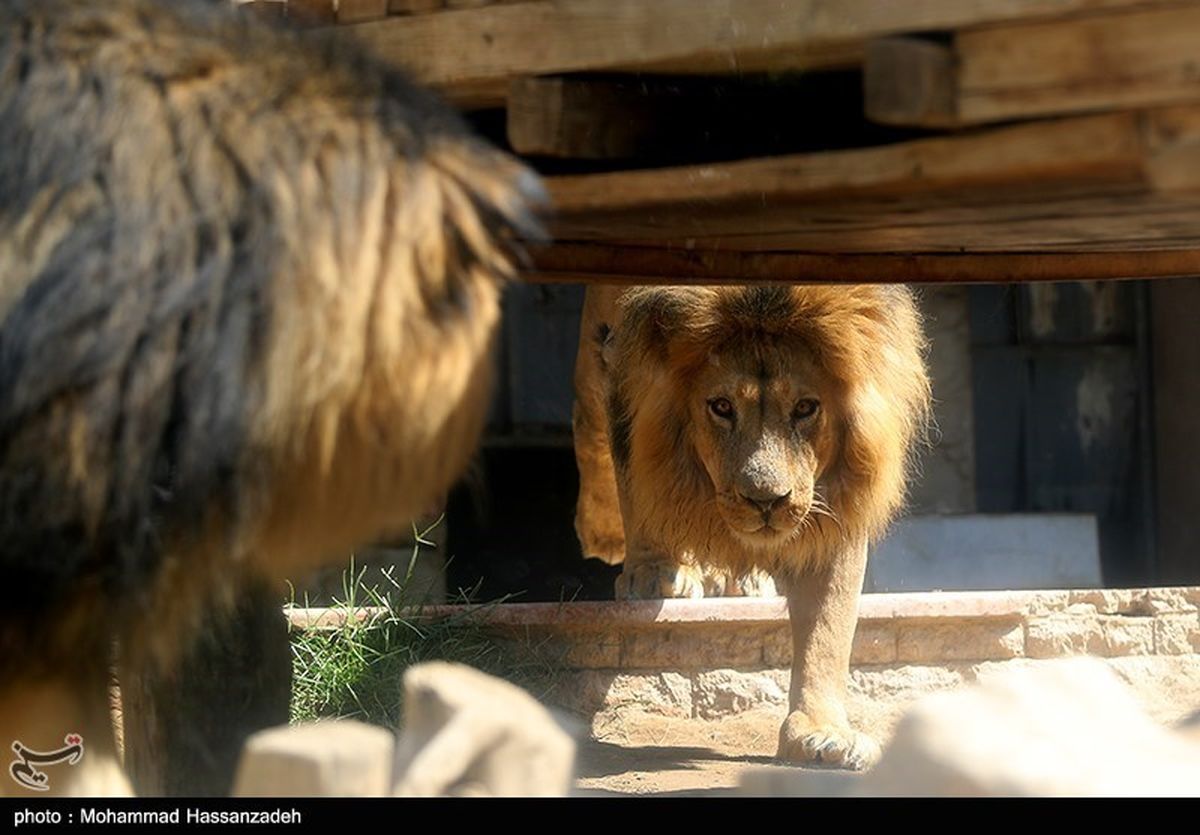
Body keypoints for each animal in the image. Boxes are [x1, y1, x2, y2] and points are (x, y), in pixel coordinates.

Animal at [576, 284, 931, 767]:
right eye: (722, 407)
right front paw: (651, 573)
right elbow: (637, 475)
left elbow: (828, 626)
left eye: (805, 408)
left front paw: (821, 732)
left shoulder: (837, 497)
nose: (766, 501)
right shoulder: (624, 355)